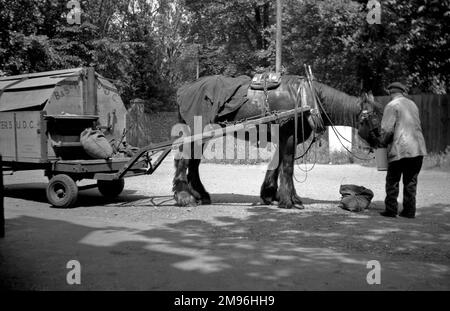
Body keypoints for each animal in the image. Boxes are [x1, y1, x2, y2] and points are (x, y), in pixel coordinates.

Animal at [171, 74, 382, 208]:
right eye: (374, 118)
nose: (383, 140)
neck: (305, 98)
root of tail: (184, 89)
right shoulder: (288, 136)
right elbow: (287, 167)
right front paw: (288, 201)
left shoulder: (284, 138)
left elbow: (277, 164)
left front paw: (272, 194)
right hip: (196, 131)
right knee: (183, 160)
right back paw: (184, 197)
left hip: (203, 136)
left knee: (194, 164)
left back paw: (200, 194)